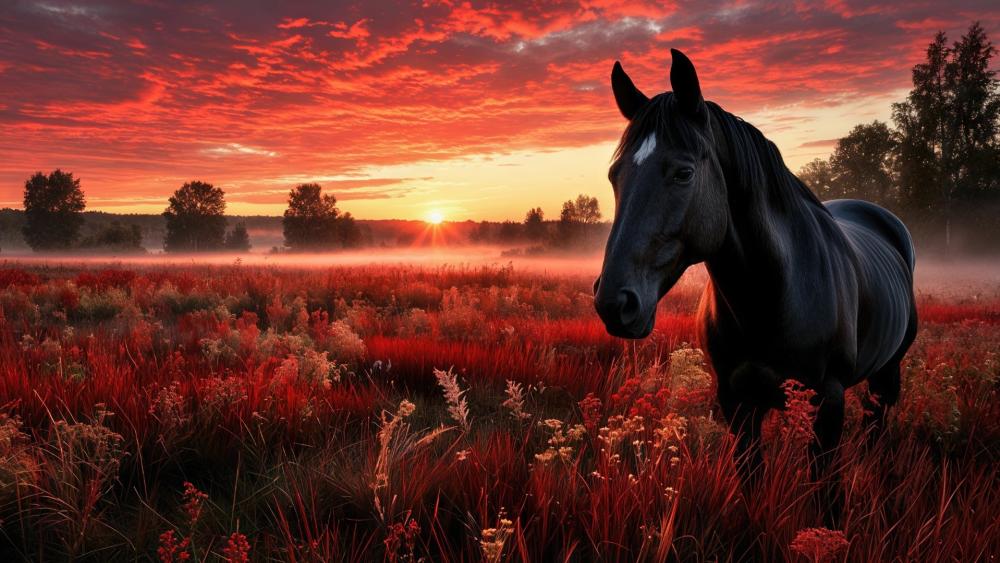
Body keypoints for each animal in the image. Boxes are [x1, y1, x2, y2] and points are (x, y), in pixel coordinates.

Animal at [593, 49, 918, 525]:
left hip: (887, 373)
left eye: (684, 173)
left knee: (877, 427)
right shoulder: (738, 403)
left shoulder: (829, 403)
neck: (772, 294)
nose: (614, 303)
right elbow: (751, 484)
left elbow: (827, 496)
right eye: (615, 175)